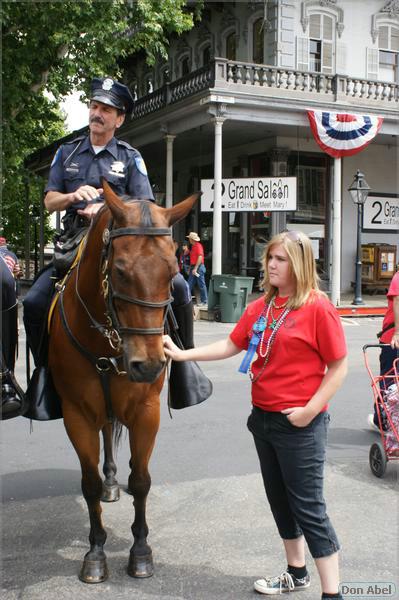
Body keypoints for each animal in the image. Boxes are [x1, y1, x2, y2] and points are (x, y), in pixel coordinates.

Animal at [49, 182, 199, 580]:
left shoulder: (146, 412)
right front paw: (96, 551)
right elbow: (88, 484)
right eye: (119, 270)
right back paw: (110, 484)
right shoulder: (77, 414)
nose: (148, 366)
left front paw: (141, 551)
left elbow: (142, 481)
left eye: (173, 270)